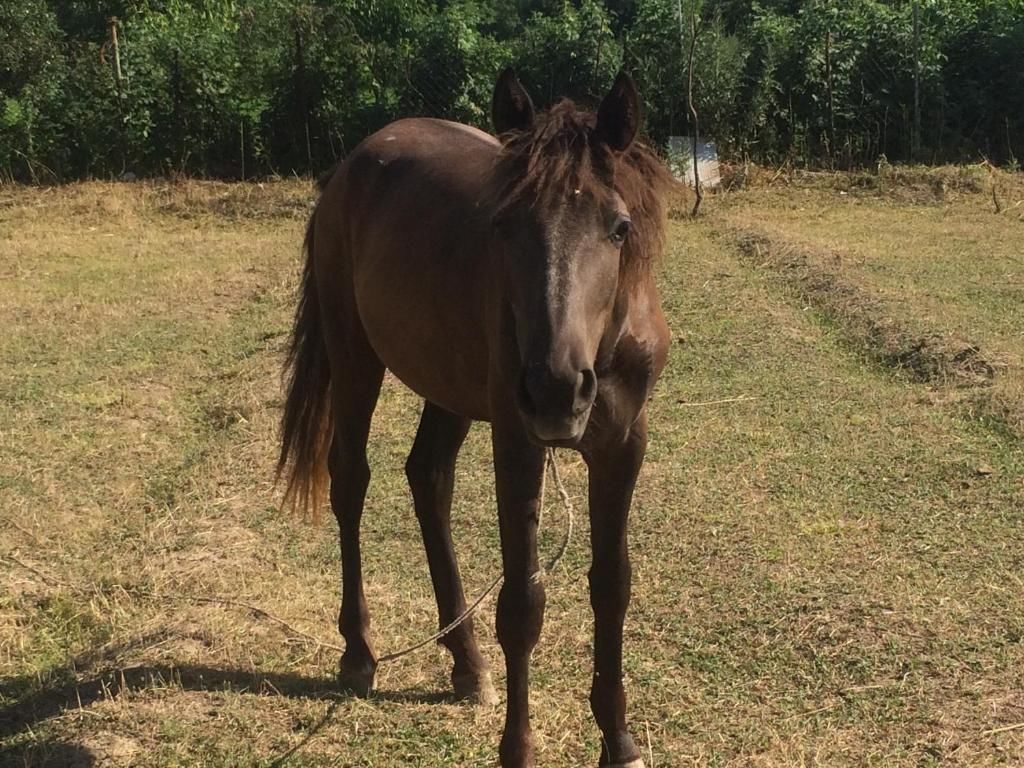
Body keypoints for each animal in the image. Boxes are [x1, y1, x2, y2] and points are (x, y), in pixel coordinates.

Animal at [276, 67, 675, 768]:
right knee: (350, 481)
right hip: (355, 359)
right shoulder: (517, 442)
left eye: (620, 227)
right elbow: (522, 605)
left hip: (449, 389)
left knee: (428, 478)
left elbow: (612, 586)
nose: (555, 388)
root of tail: (352, 166)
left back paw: (465, 662)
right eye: (506, 225)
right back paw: (359, 653)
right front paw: (518, 747)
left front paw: (619, 738)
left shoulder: (624, 444)